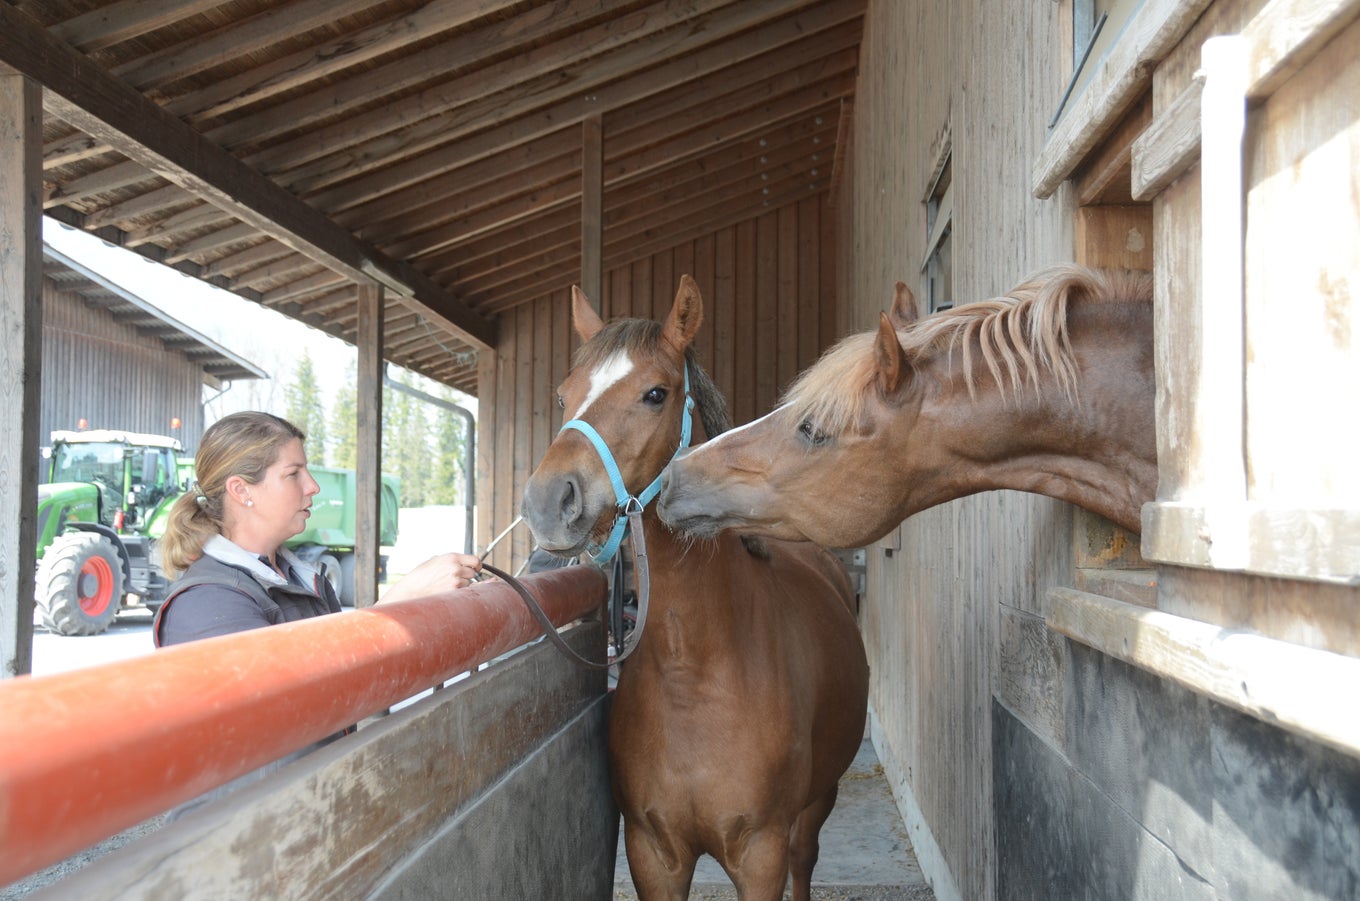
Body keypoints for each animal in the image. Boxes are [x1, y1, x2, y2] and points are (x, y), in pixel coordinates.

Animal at [519, 277, 870, 901]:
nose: (548, 502)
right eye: (562, 397)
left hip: (816, 805)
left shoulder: (760, 855)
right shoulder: (652, 852)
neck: (694, 671)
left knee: (806, 860)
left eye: (656, 394)